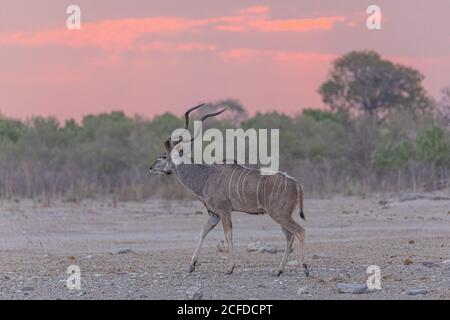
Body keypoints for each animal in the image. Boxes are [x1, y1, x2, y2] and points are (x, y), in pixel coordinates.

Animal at [149, 105, 310, 278]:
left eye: (163, 156)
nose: (151, 168)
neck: (206, 176)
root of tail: (295, 182)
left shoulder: (224, 211)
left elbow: (228, 236)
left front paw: (230, 268)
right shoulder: (215, 214)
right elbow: (202, 232)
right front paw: (191, 265)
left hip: (279, 214)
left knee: (299, 231)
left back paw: (305, 268)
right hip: (280, 216)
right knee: (289, 236)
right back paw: (278, 270)